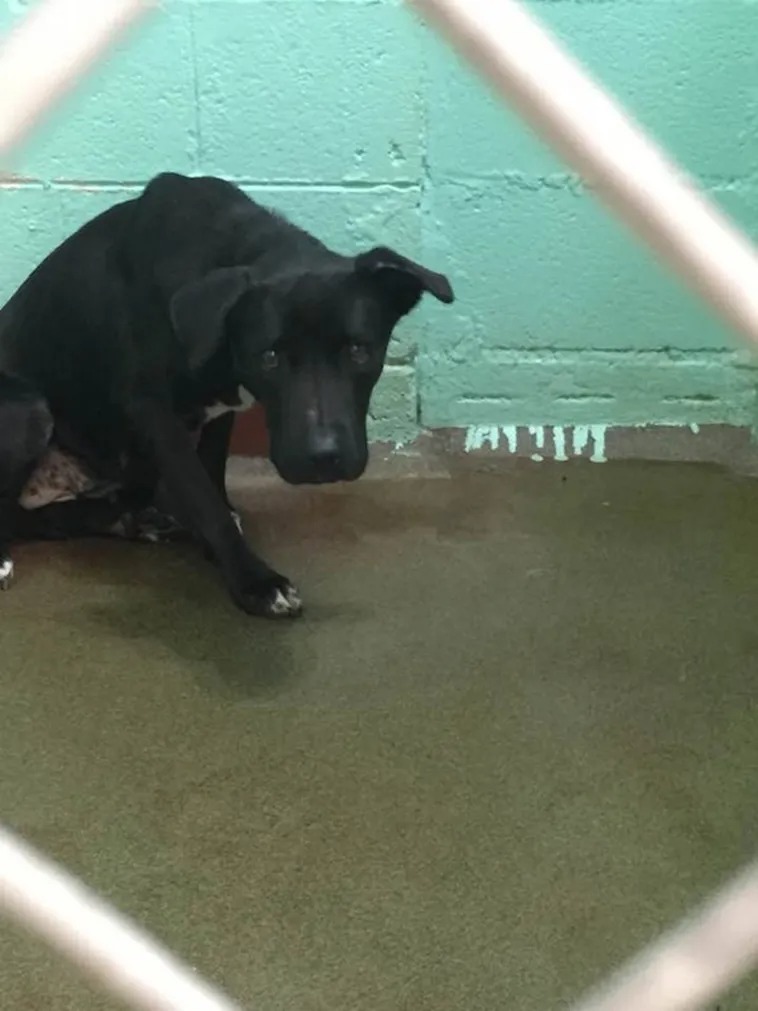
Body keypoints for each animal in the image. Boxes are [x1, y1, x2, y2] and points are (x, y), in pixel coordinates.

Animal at [0, 172, 454, 617]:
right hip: (30, 410)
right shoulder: (153, 412)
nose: (324, 458)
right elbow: (203, 497)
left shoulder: (221, 409)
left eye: (359, 350)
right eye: (270, 357)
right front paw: (255, 581)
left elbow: (213, 474)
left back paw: (129, 518)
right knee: (18, 516)